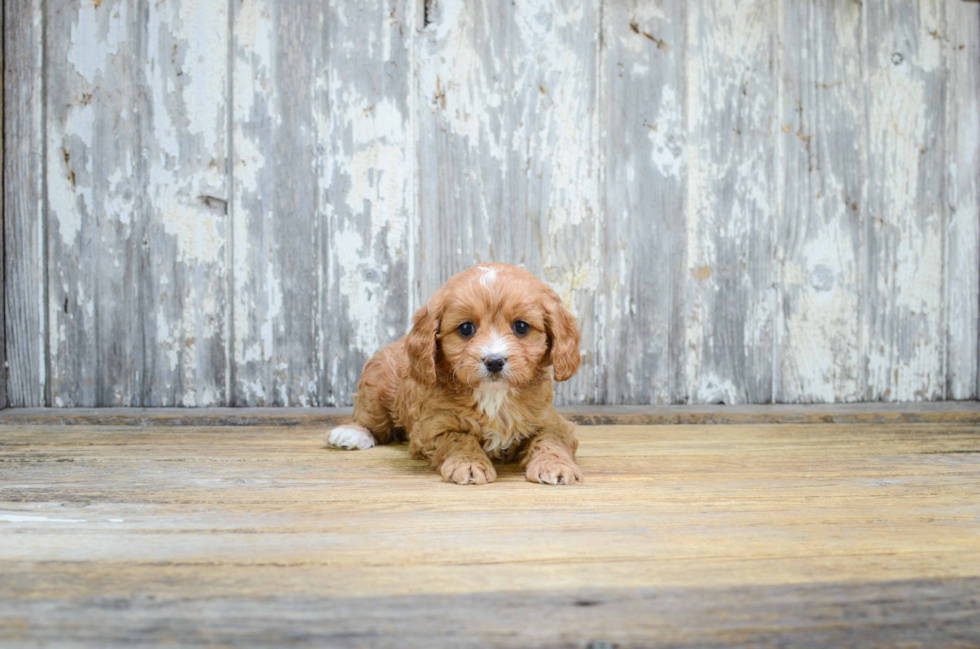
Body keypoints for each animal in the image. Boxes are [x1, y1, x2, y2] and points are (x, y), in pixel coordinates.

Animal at [322, 260, 580, 484]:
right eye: (466, 328)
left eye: (521, 327)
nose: (494, 361)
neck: (493, 395)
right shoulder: (434, 426)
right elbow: (459, 439)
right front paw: (468, 464)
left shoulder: (551, 422)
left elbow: (550, 440)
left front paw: (555, 465)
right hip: (376, 386)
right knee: (369, 418)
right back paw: (350, 434)